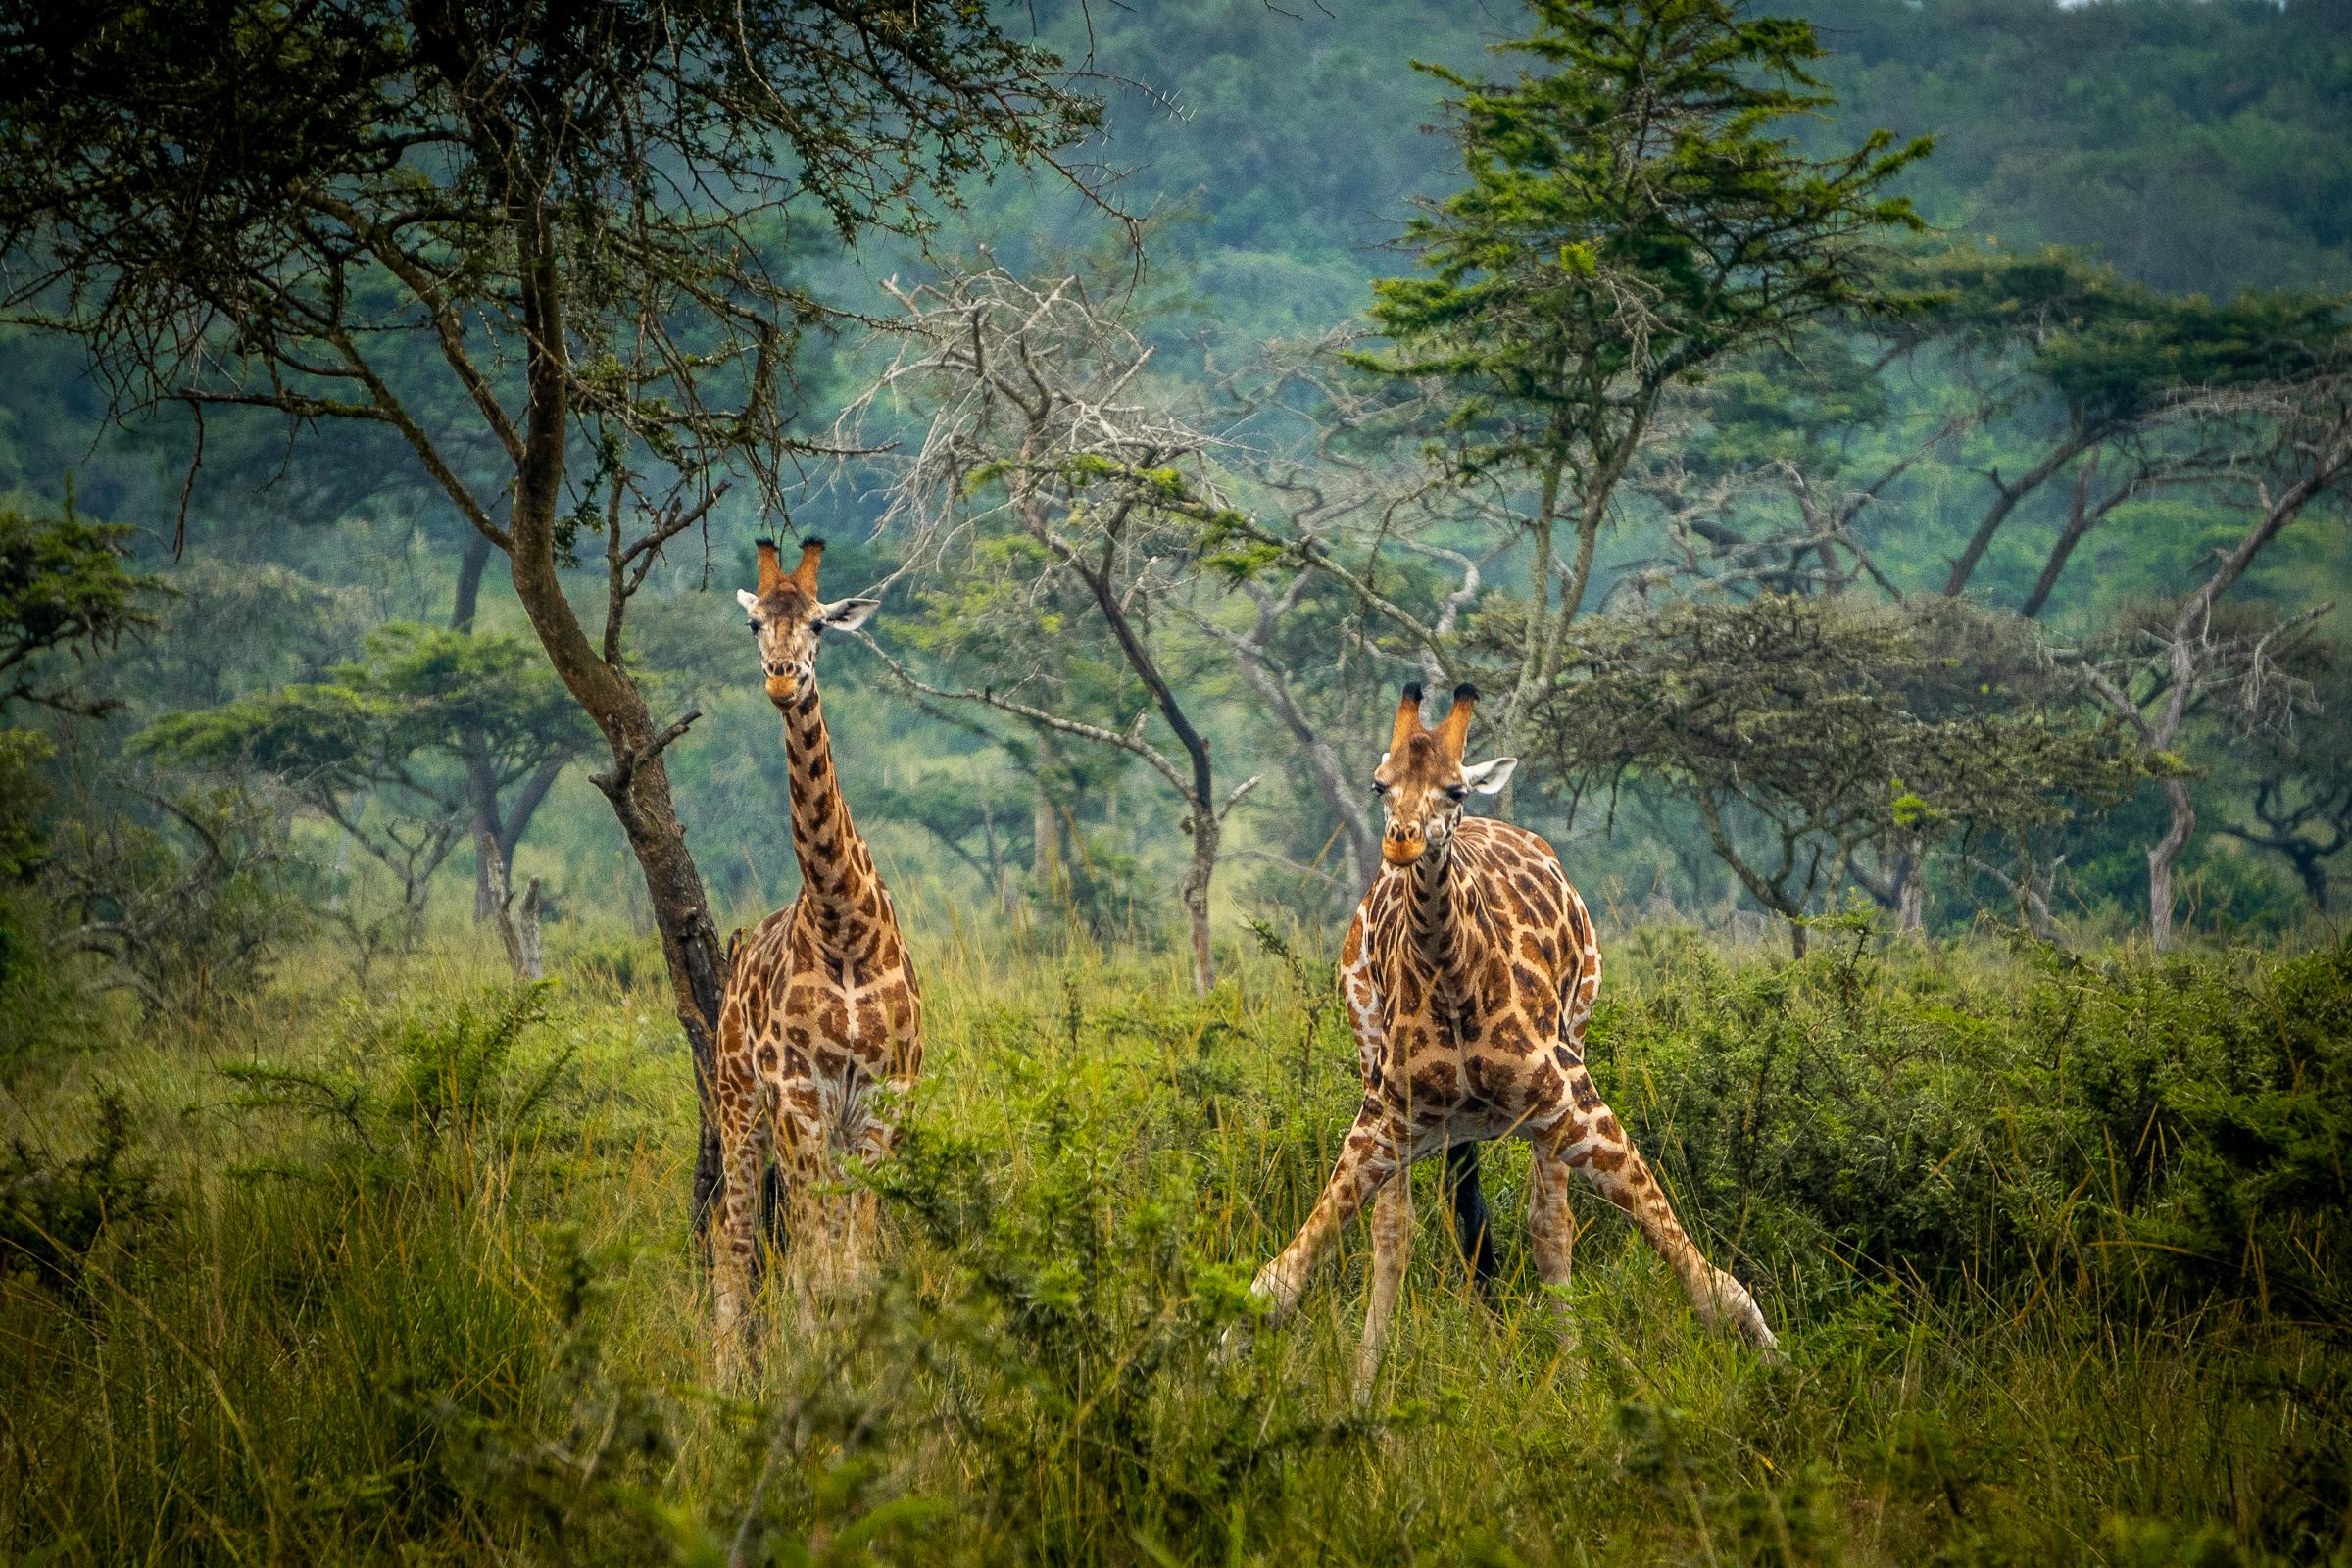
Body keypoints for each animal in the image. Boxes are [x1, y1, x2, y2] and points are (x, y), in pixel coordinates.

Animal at [712, 537, 923, 1375]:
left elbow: (854, 1264)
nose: (781, 677)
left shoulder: (882, 1098)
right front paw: (810, 1373)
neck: (843, 928)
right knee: (734, 1234)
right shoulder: (799, 1095)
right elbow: (814, 1263)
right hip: (738, 1102)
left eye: (821, 627)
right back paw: (725, 1378)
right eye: (753, 625)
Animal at [1240, 681, 1778, 1399]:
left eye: (1454, 790)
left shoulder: (1572, 1098)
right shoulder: (1387, 1113)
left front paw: (1779, 1367)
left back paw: (1573, 1378)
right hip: (1374, 1058)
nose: (1403, 843)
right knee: (1398, 1230)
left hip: (1570, 1053)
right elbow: (1279, 1280)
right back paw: (1373, 1382)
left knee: (1548, 1228)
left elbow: (1708, 1283)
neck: (1452, 977)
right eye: (1380, 785)